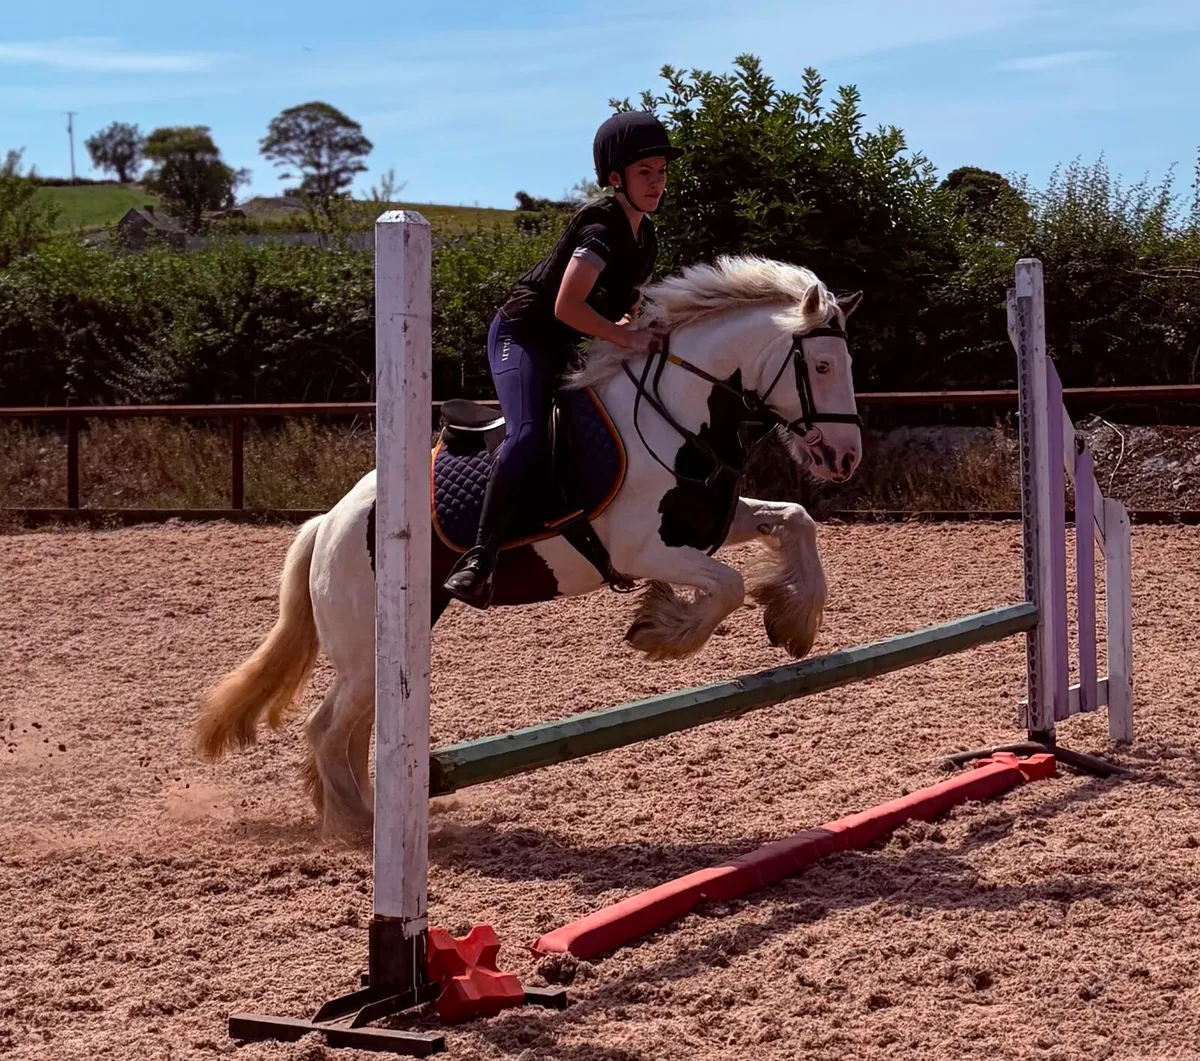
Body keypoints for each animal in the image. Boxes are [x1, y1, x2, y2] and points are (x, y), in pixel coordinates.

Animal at [193, 254, 864, 836]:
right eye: (823, 368)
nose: (846, 458)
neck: (674, 414)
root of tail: (328, 522)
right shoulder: (642, 549)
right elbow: (726, 585)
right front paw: (661, 631)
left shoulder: (706, 526)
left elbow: (797, 520)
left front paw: (794, 619)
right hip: (365, 645)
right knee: (327, 727)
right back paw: (357, 827)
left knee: (354, 729)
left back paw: (370, 813)